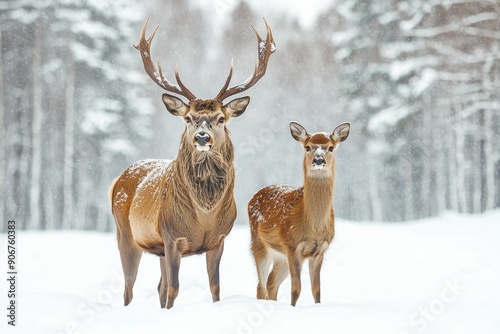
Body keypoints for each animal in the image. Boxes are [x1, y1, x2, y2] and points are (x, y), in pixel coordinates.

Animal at [247, 120, 350, 306]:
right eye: (308, 147)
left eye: (331, 147)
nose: (318, 159)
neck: (313, 227)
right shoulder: (293, 246)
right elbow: (296, 289)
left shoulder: (320, 250)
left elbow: (316, 290)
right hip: (258, 243)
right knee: (261, 286)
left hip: (280, 256)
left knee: (271, 283)